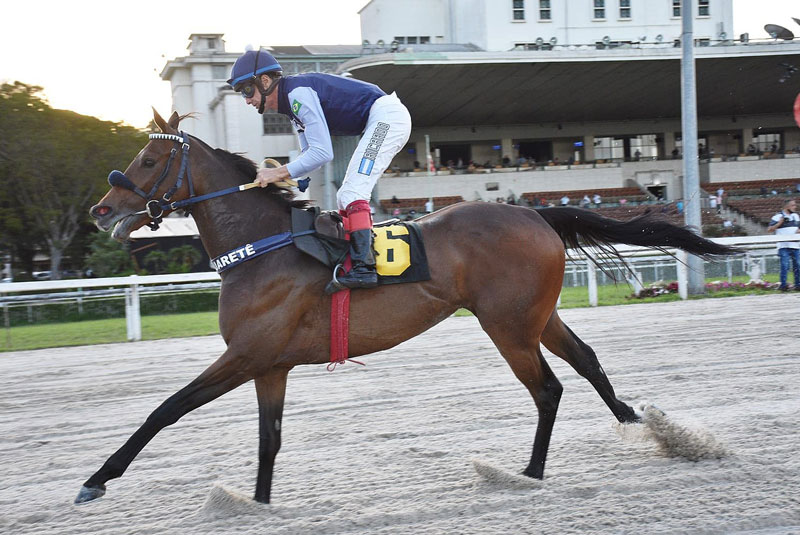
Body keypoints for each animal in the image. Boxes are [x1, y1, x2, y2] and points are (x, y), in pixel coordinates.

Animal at [79, 110, 736, 506]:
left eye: (147, 161)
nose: (101, 210)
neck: (264, 247)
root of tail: (536, 213)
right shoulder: (270, 364)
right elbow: (269, 440)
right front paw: (259, 504)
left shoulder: (245, 355)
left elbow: (164, 411)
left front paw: (96, 481)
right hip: (536, 317)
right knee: (588, 360)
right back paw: (650, 427)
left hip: (507, 326)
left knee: (548, 389)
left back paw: (526, 474)